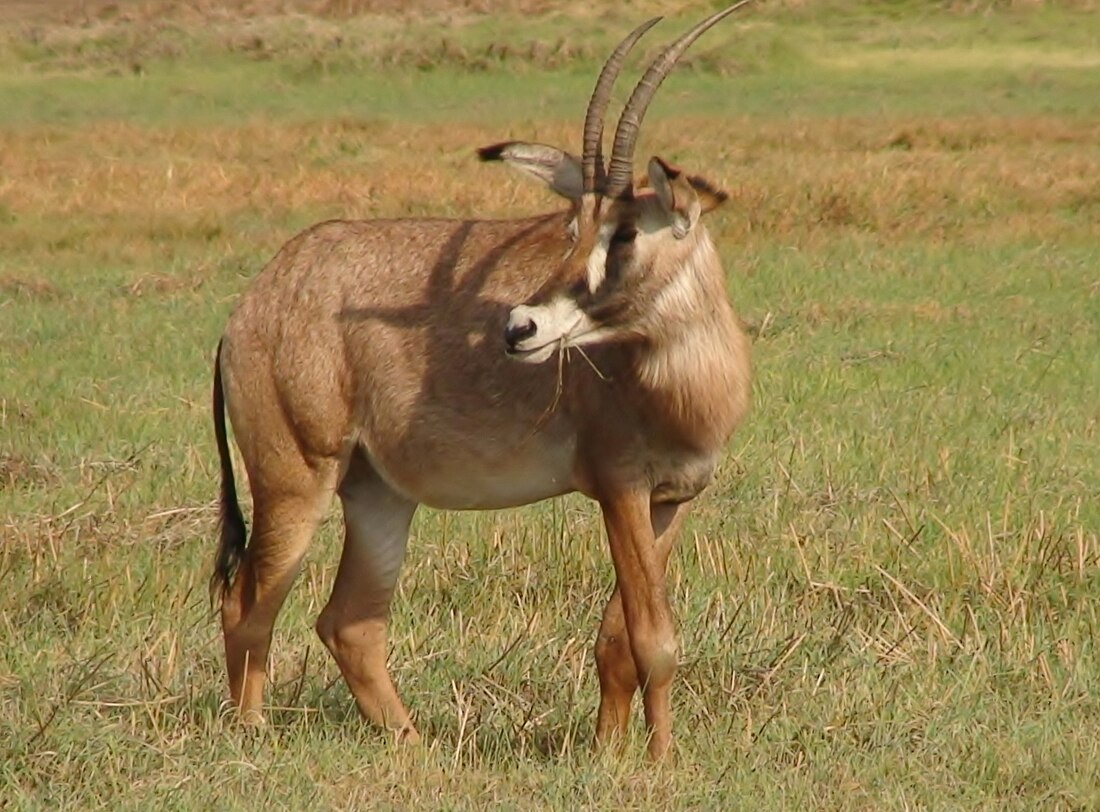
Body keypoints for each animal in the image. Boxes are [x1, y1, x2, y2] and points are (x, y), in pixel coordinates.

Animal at [210, 1, 752, 756]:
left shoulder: (671, 500)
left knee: (350, 622)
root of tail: (252, 307)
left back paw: (415, 746)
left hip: (378, 495)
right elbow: (654, 640)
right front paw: (658, 761)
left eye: (624, 234)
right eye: (572, 228)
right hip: (296, 481)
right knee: (249, 606)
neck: (682, 374)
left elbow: (616, 640)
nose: (521, 327)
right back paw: (255, 735)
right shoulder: (619, 489)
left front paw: (607, 752)